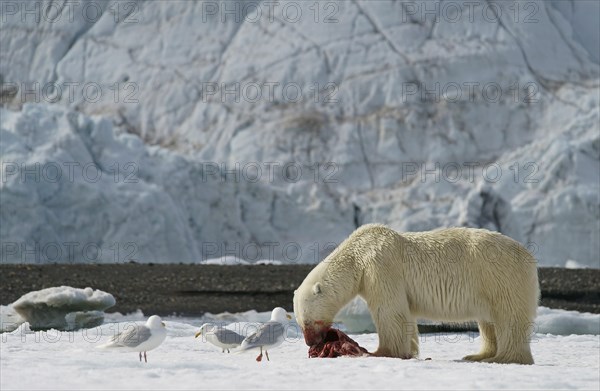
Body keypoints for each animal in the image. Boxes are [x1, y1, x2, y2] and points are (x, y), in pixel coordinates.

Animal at [294, 225, 540, 366]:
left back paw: (504, 358)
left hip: (500, 276)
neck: (359, 252)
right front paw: (410, 350)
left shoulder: (380, 267)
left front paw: (377, 352)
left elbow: (389, 311)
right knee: (488, 322)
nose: (310, 343)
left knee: (509, 317)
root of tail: (529, 256)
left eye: (308, 321)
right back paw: (478, 355)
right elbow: (405, 315)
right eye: (300, 322)